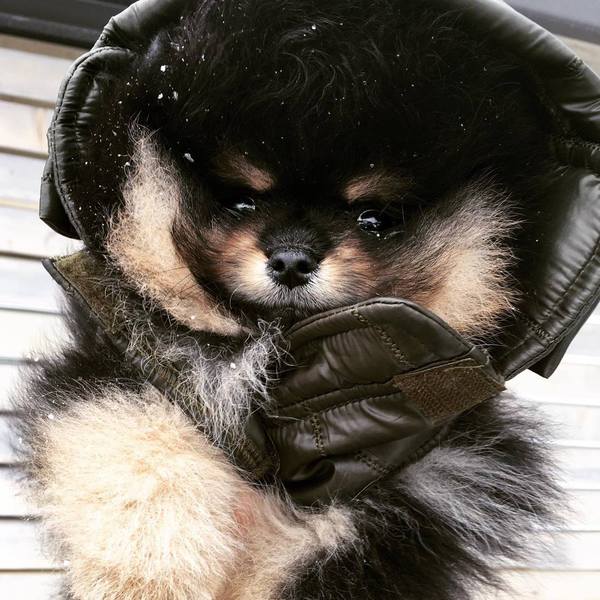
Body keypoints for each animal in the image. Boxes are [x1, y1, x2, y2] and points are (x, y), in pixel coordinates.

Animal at [14, 1, 561, 599]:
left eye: (374, 218)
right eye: (240, 199)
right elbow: (135, 448)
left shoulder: (431, 474)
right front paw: (149, 575)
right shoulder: (136, 360)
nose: (293, 259)